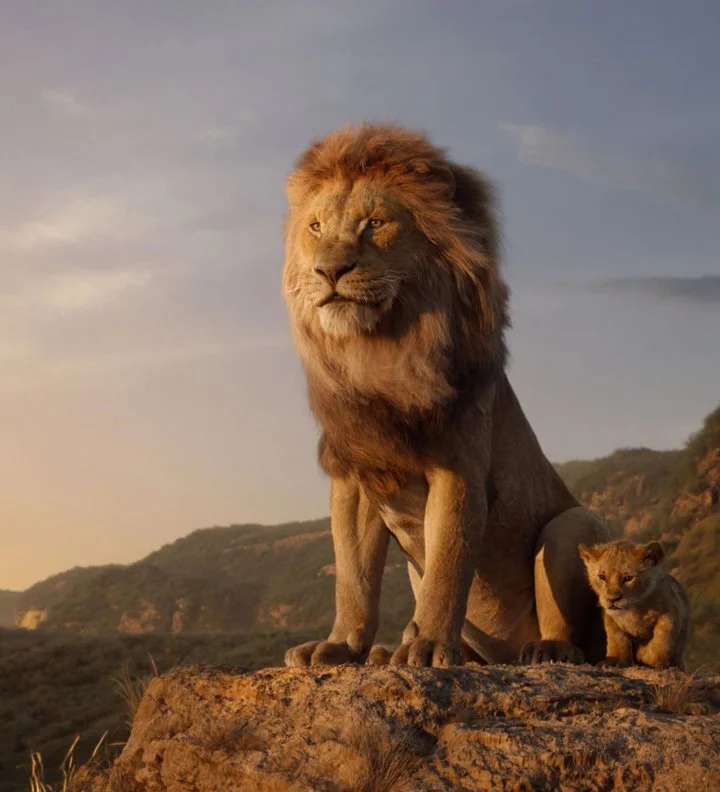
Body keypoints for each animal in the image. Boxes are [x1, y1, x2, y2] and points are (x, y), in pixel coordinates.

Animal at [281, 123, 610, 668]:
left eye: (375, 223)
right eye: (315, 228)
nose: (330, 272)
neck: (378, 352)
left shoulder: (459, 468)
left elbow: (448, 566)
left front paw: (430, 646)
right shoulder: (356, 476)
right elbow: (353, 578)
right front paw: (341, 645)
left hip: (573, 525)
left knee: (575, 632)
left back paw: (546, 650)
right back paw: (385, 653)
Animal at [579, 539, 691, 670]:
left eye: (628, 578)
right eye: (602, 577)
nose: (612, 599)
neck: (633, 609)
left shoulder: (671, 612)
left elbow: (662, 640)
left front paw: (646, 656)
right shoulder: (611, 619)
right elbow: (617, 640)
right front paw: (615, 660)